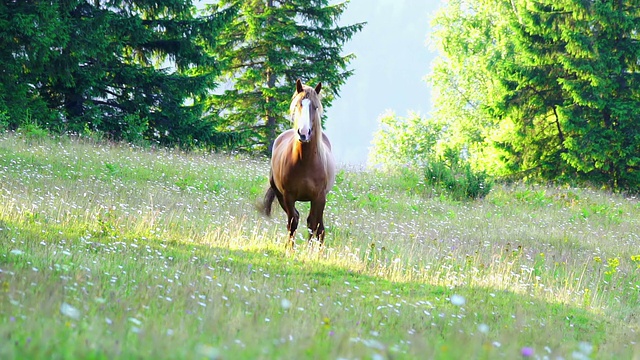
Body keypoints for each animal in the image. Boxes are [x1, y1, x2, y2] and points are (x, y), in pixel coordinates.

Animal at [262, 78, 338, 248]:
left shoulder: (319, 197)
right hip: (280, 196)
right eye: (297, 105)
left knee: (317, 226)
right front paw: (290, 249)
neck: (305, 162)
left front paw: (311, 251)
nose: (303, 133)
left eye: (315, 107)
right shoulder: (288, 196)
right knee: (297, 218)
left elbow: (314, 225)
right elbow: (293, 222)